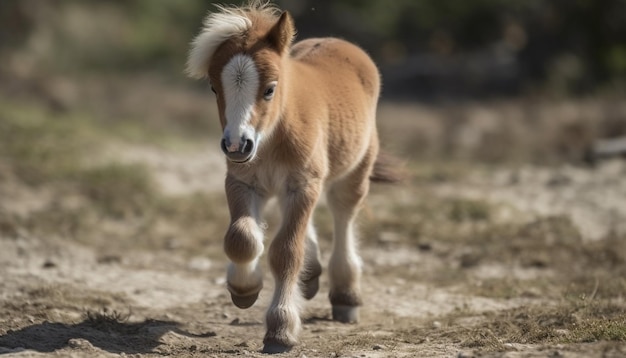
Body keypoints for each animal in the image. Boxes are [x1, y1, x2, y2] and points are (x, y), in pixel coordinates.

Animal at [188, 0, 398, 352]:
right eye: (214, 87)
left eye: (270, 89)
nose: (236, 145)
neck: (273, 138)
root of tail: (338, 41)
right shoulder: (242, 181)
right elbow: (241, 238)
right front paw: (244, 288)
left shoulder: (302, 184)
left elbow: (286, 251)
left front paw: (281, 329)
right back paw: (311, 276)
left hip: (355, 168)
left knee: (343, 214)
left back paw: (346, 295)